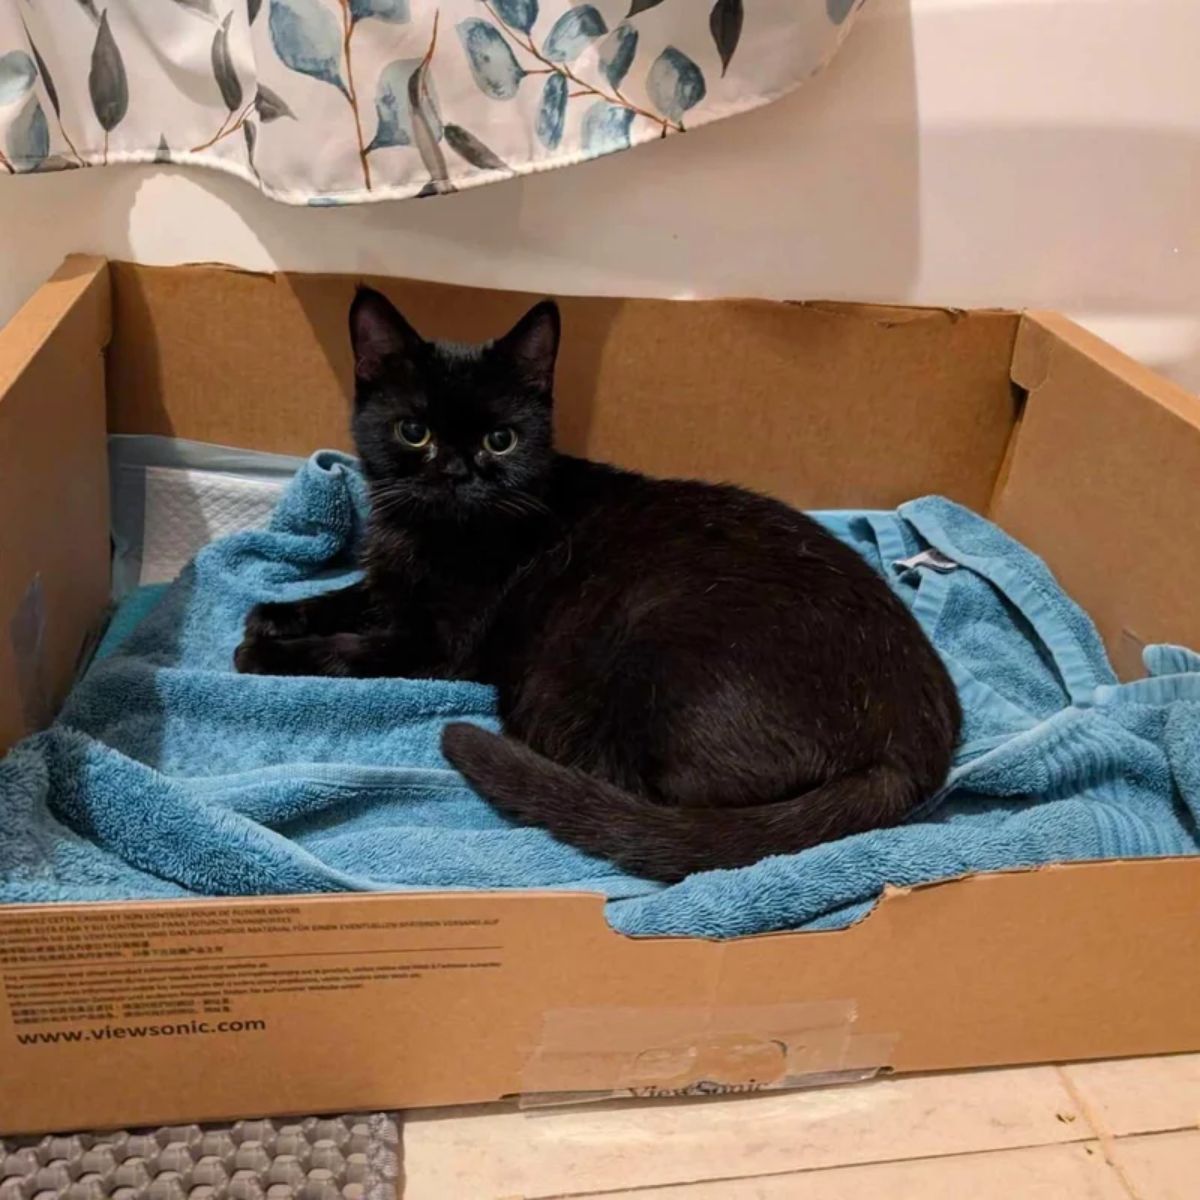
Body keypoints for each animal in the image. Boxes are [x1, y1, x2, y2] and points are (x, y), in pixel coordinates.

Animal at [234, 290, 960, 883]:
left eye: (501, 440)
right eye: (415, 432)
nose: (459, 472)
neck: (428, 535)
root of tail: (911, 742)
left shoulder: (436, 645)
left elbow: (352, 651)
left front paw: (261, 652)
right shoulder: (393, 587)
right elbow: (348, 595)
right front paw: (272, 614)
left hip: (651, 634)